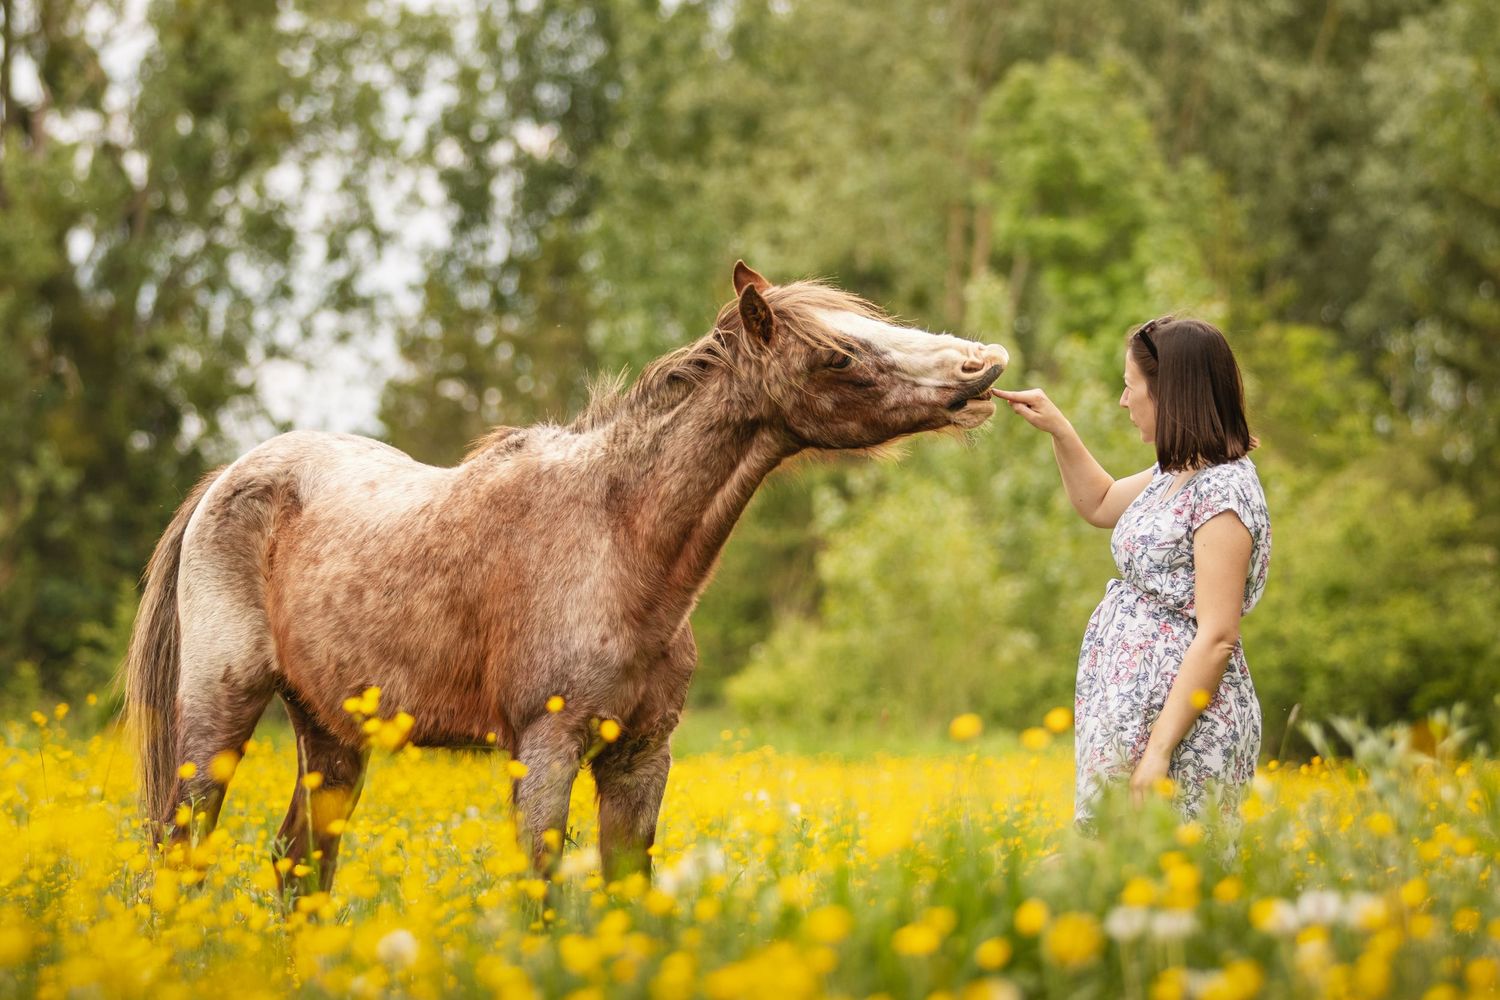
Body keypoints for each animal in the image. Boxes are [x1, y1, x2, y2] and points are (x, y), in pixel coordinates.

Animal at [124, 261, 1009, 890]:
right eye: (841, 354)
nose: (984, 366)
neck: (620, 544)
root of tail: (231, 476)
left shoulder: (641, 759)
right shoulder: (546, 751)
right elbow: (541, 890)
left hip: (331, 734)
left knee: (297, 866)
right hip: (219, 717)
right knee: (181, 849)